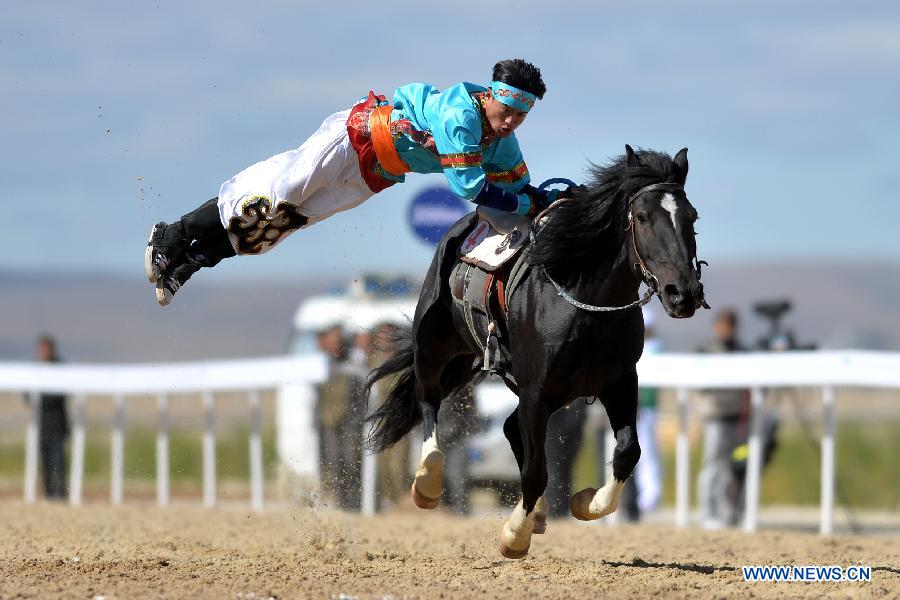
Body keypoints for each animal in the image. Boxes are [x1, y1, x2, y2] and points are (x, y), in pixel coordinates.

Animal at [366, 145, 712, 556]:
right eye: (642, 217)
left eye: (692, 217)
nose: (683, 293)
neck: (584, 305)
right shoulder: (536, 392)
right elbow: (535, 470)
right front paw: (515, 534)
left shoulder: (620, 382)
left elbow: (628, 451)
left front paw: (586, 502)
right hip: (435, 347)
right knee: (428, 400)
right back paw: (428, 482)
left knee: (508, 427)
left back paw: (541, 512)